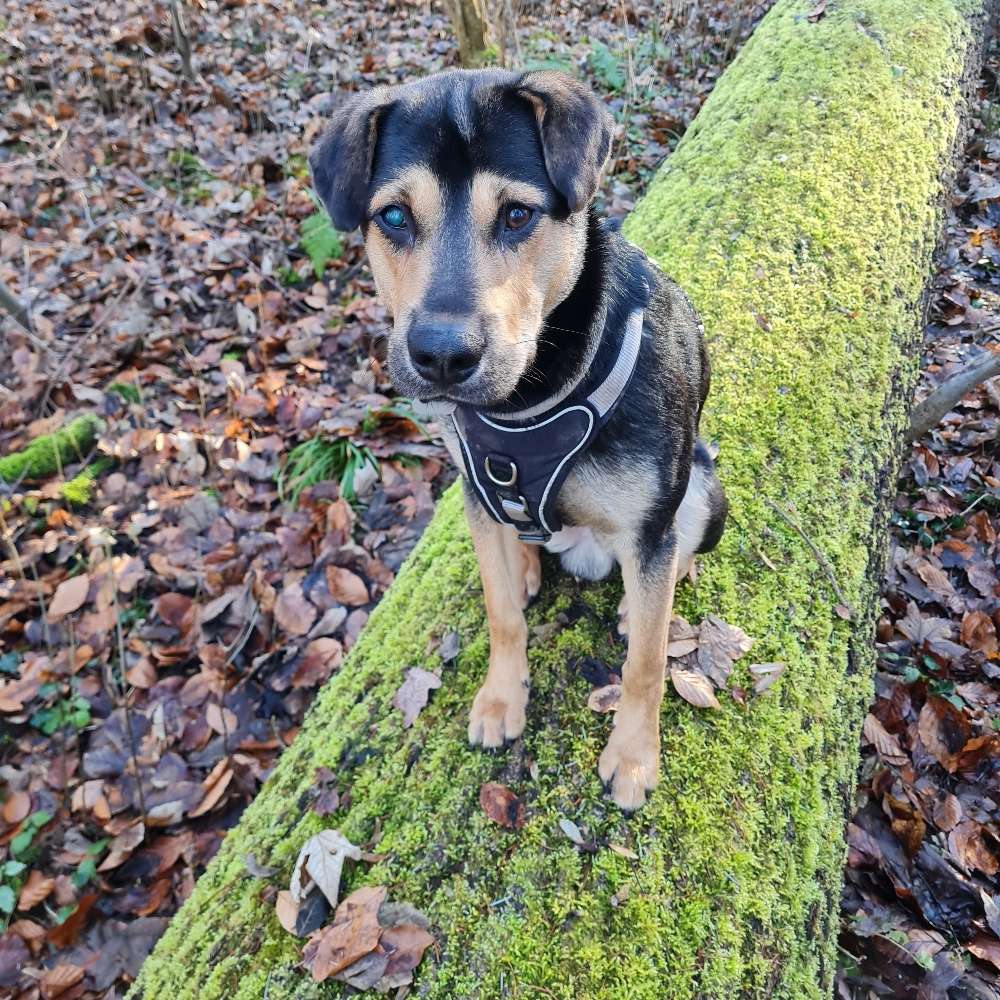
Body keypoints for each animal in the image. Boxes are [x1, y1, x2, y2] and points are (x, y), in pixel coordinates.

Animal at [312, 70, 728, 808]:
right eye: (393, 217)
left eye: (516, 215)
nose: (441, 356)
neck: (532, 400)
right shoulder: (476, 491)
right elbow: (502, 614)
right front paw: (502, 700)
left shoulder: (650, 526)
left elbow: (647, 662)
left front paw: (633, 755)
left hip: (705, 489)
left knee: (677, 557)